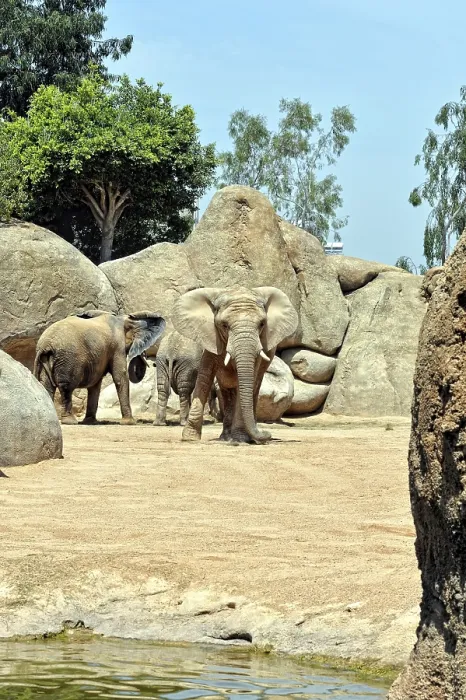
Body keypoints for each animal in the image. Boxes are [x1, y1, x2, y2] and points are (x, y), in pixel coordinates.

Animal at [34, 309, 166, 425]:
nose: (149, 361)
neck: (122, 319)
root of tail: (45, 345)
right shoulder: (117, 346)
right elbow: (120, 376)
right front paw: (130, 423)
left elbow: (95, 385)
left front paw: (90, 422)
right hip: (67, 359)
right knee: (66, 388)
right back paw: (70, 421)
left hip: (47, 359)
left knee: (46, 386)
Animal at [171, 286, 298, 444]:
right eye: (224, 325)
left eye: (262, 324)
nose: (267, 434)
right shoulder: (212, 339)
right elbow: (204, 377)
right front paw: (189, 439)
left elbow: (245, 382)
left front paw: (240, 439)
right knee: (226, 391)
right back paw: (226, 437)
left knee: (253, 387)